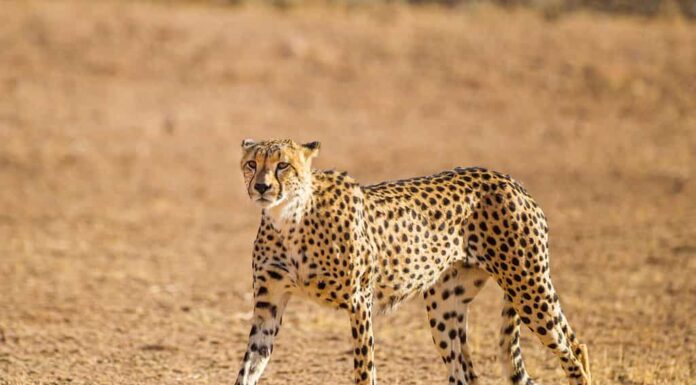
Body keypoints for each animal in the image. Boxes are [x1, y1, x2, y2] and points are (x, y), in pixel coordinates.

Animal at [237, 138, 588, 384]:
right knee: (466, 374)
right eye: (252, 163)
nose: (261, 187)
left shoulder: (359, 301)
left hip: (529, 288)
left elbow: (364, 369)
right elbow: (248, 368)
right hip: (445, 307)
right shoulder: (268, 308)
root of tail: (509, 179)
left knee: (575, 350)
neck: (289, 217)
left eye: (283, 165)